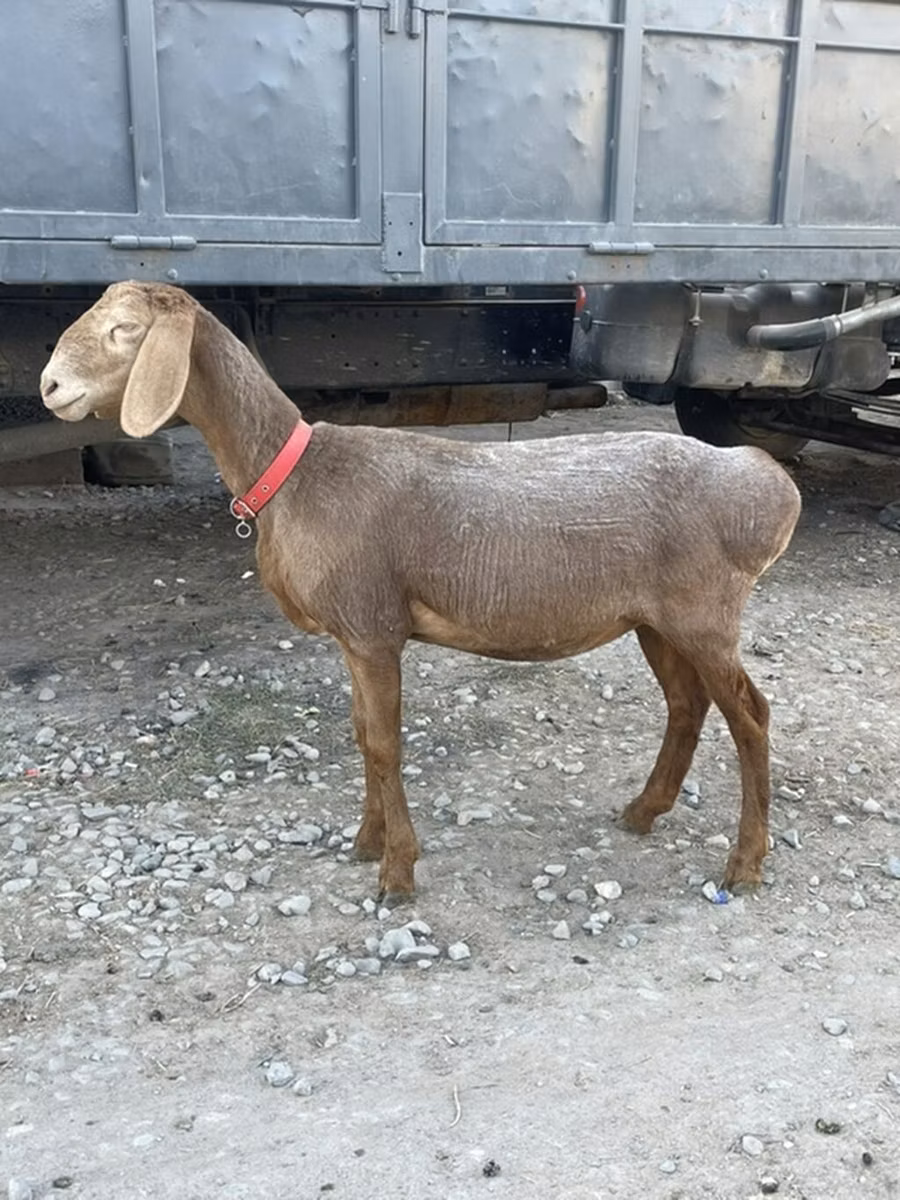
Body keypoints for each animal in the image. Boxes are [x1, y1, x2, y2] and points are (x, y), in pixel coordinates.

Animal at [40, 282, 802, 903]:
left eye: (124, 331)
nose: (50, 386)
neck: (293, 473)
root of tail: (767, 485)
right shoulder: (353, 636)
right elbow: (360, 736)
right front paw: (364, 842)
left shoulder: (374, 629)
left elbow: (385, 744)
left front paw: (396, 874)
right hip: (655, 617)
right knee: (687, 704)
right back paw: (644, 812)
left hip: (704, 611)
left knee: (751, 717)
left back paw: (745, 864)